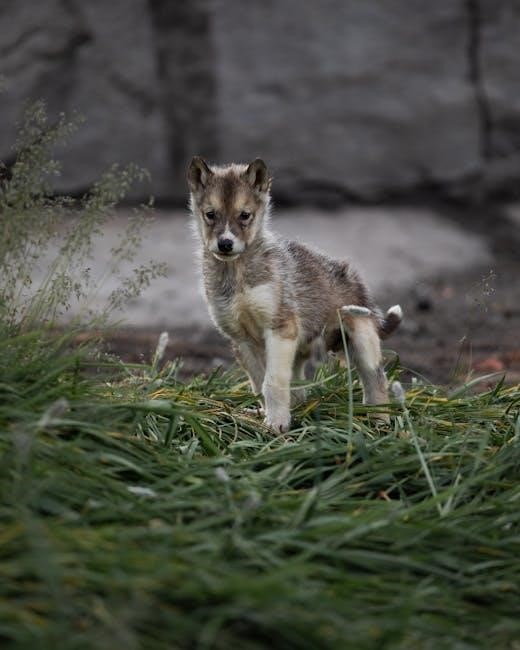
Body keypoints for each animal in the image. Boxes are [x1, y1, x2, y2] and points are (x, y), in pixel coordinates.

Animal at [187, 157, 402, 432]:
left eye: (244, 215)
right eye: (210, 215)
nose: (225, 244)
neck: (237, 273)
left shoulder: (281, 327)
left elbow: (273, 381)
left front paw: (276, 424)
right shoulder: (241, 339)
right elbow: (260, 383)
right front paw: (268, 417)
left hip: (361, 339)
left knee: (376, 380)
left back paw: (379, 421)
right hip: (302, 348)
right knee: (299, 389)